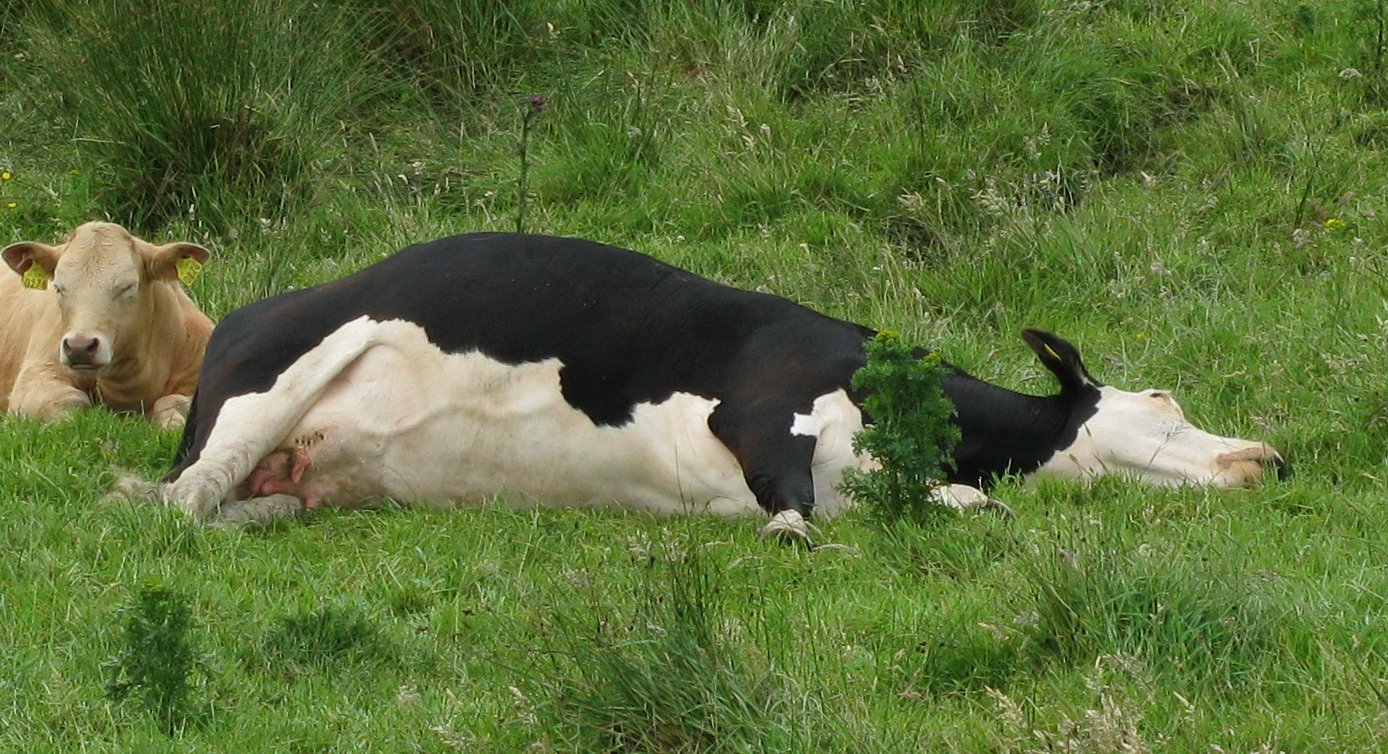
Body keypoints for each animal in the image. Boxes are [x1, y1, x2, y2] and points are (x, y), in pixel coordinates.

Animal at [0, 220, 213, 427]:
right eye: (58, 288)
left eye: (128, 286)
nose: (79, 347)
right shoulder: (35, 378)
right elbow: (73, 403)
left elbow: (171, 402)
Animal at [146, 233, 1282, 533]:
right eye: (1163, 401)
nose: (1268, 458)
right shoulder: (764, 399)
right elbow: (788, 495)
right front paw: (787, 533)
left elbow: (961, 505)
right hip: (269, 386)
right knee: (172, 500)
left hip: (297, 470)